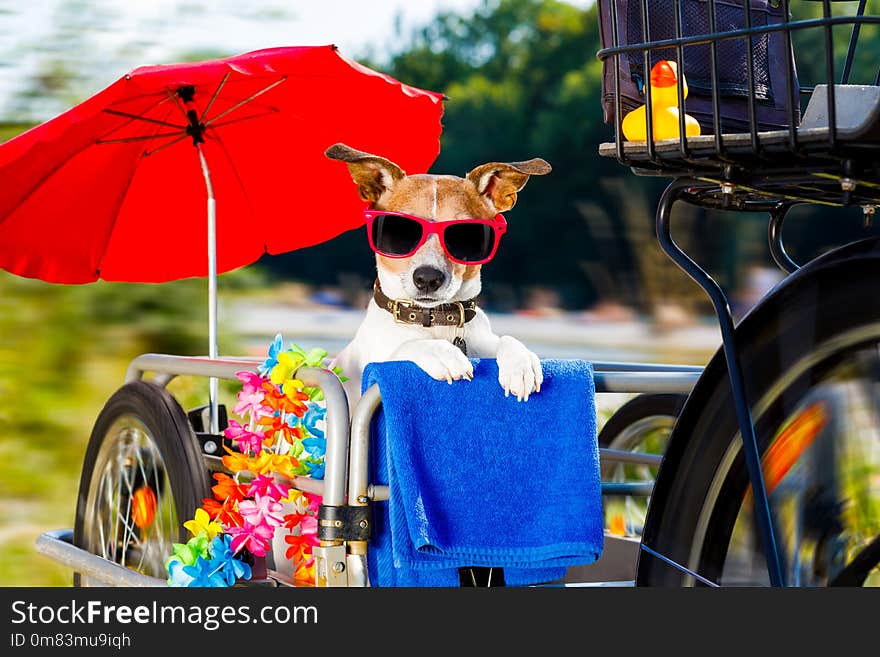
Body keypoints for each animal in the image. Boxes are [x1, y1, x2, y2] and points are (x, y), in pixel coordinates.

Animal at [326, 142, 552, 410]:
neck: (435, 321)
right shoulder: (377, 361)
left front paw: (522, 364)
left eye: (466, 235)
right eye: (400, 231)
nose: (427, 278)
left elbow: (508, 339)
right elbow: (406, 346)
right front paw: (441, 353)